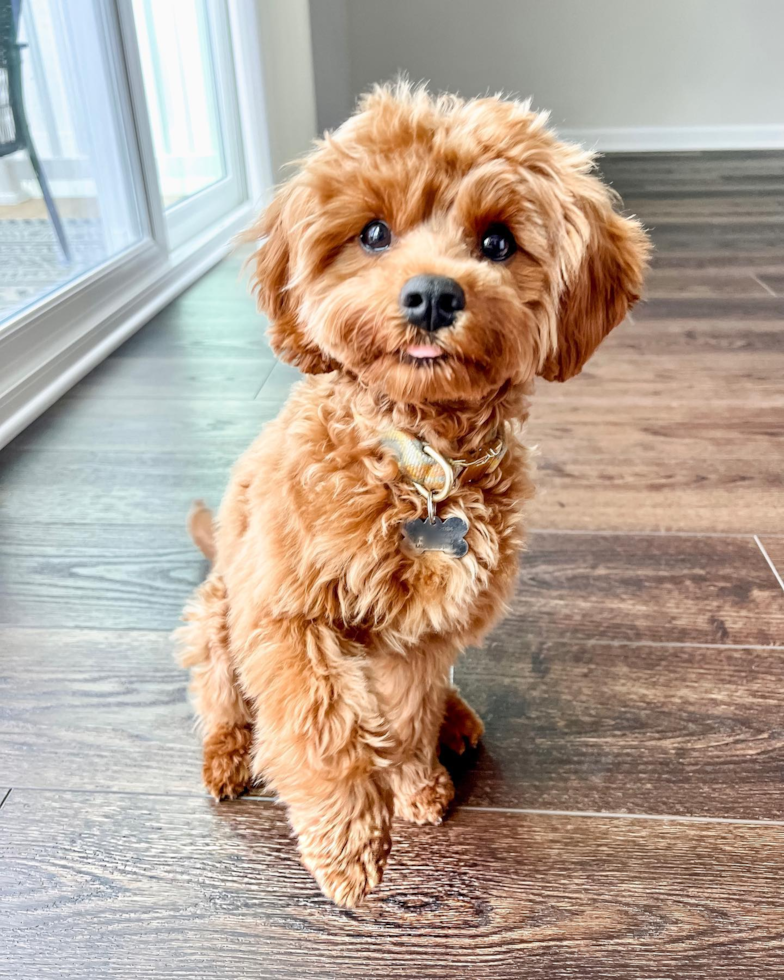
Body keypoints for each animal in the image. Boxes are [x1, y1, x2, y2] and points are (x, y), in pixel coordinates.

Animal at [178, 80, 648, 908]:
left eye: (497, 243)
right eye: (373, 232)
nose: (431, 296)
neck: (423, 466)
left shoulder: (422, 634)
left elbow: (405, 711)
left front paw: (416, 783)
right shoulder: (286, 617)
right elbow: (319, 725)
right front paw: (347, 842)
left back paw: (455, 721)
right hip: (216, 618)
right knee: (225, 701)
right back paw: (228, 755)